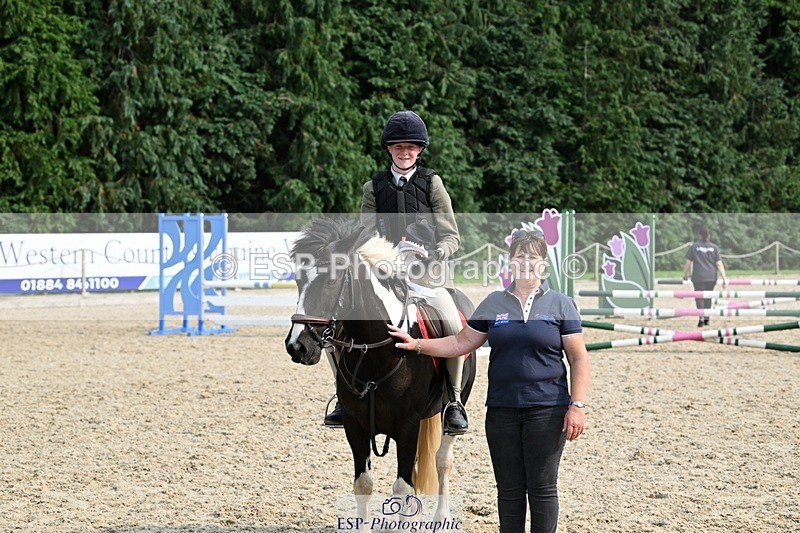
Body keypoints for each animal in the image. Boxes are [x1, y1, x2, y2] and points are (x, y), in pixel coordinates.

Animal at [284, 216, 477, 520]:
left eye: (331, 280)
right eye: (298, 280)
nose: (297, 346)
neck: (378, 353)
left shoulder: (408, 425)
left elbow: (402, 487)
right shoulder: (355, 426)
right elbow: (363, 484)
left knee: (443, 460)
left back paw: (441, 516)